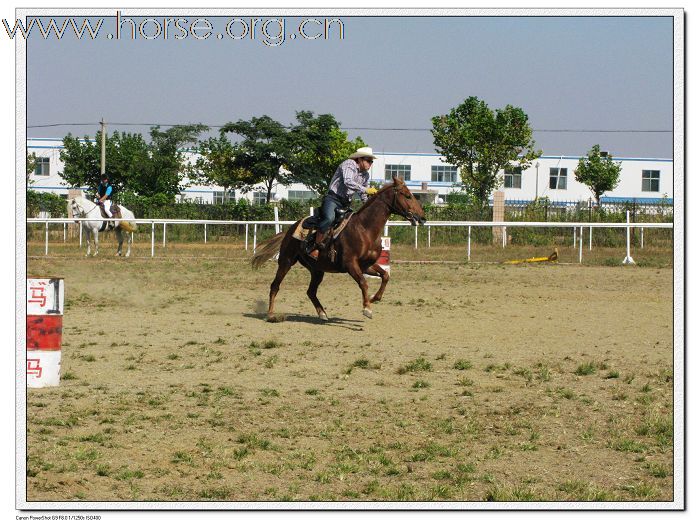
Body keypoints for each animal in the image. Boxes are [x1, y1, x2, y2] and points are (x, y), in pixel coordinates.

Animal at [252, 178, 426, 322]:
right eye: (407, 196)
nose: (422, 218)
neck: (365, 229)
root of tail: (290, 229)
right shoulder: (350, 264)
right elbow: (363, 283)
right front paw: (367, 308)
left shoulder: (366, 265)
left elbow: (385, 276)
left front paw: (373, 299)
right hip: (286, 261)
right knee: (275, 286)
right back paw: (271, 314)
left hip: (317, 270)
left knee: (310, 291)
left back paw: (322, 313)